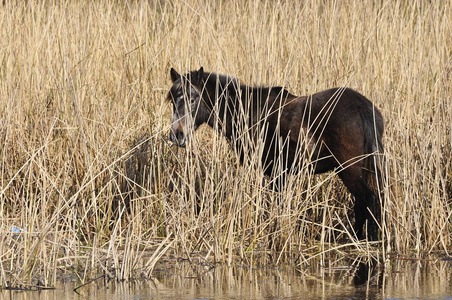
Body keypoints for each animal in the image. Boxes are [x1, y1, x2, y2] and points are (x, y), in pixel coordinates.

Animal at [168, 67, 384, 240]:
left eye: (193, 98)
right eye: (172, 101)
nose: (177, 135)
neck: (247, 112)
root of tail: (362, 107)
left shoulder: (270, 171)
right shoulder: (280, 174)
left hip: (348, 169)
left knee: (368, 199)